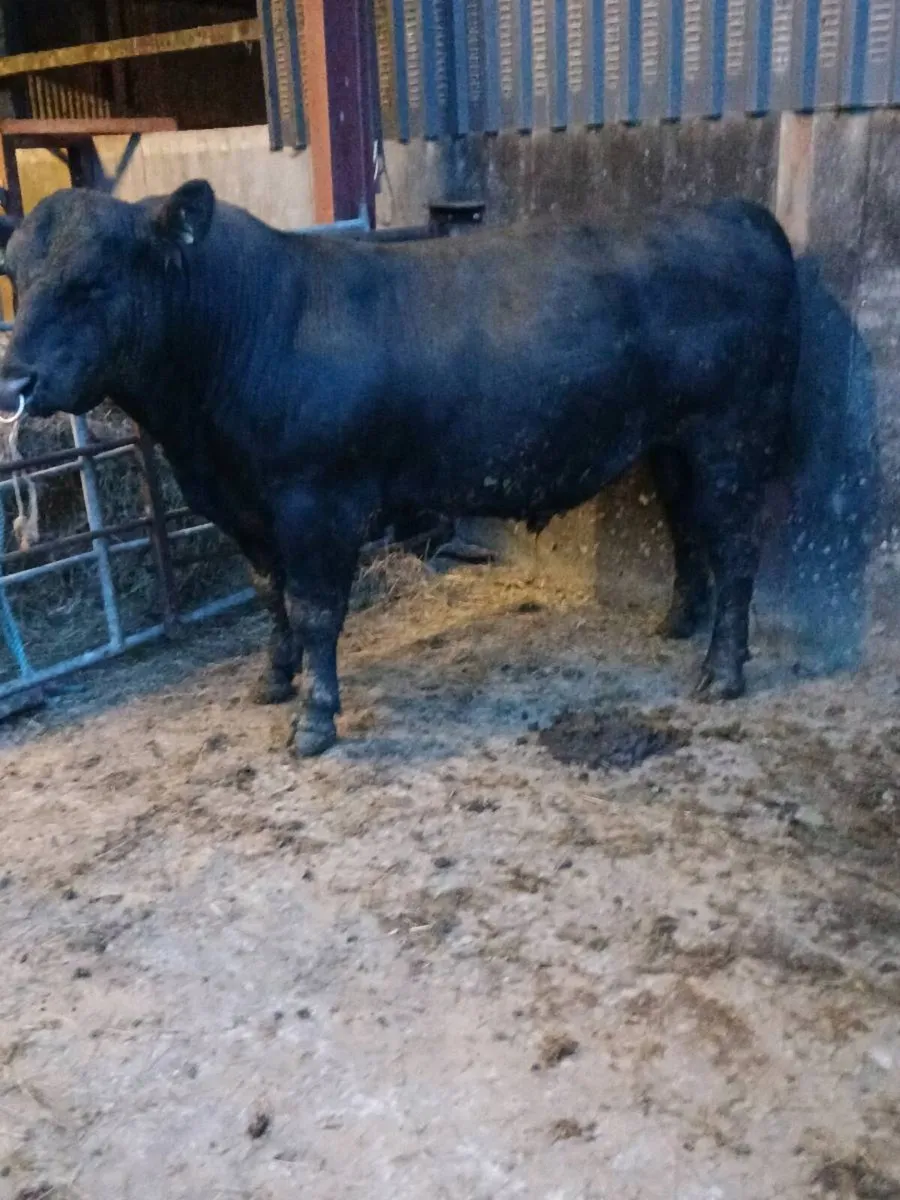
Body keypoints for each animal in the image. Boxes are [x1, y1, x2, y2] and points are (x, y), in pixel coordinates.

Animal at [0, 183, 800, 756]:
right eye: (14, 273)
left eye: (93, 280)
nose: (14, 380)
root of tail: (737, 211)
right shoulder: (243, 509)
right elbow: (268, 596)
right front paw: (273, 679)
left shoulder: (317, 503)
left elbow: (315, 609)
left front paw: (315, 720)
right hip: (672, 441)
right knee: (686, 525)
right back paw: (678, 622)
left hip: (732, 435)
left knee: (735, 545)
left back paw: (722, 672)